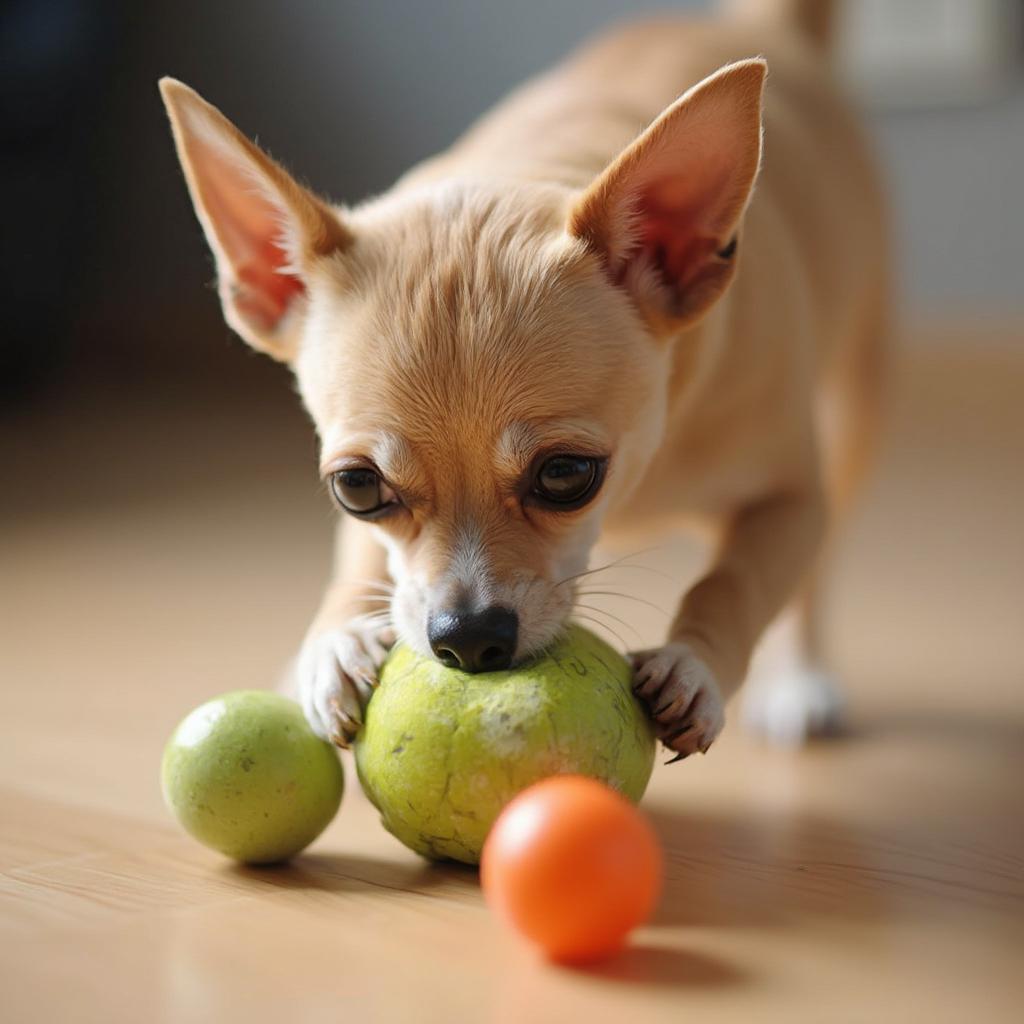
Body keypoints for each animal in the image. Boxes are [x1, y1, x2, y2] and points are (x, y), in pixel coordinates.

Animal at [161, 0, 888, 753]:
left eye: (566, 475)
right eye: (357, 488)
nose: (468, 637)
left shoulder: (791, 500)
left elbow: (734, 583)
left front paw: (695, 666)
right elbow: (365, 570)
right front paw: (333, 646)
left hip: (854, 404)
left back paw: (800, 676)